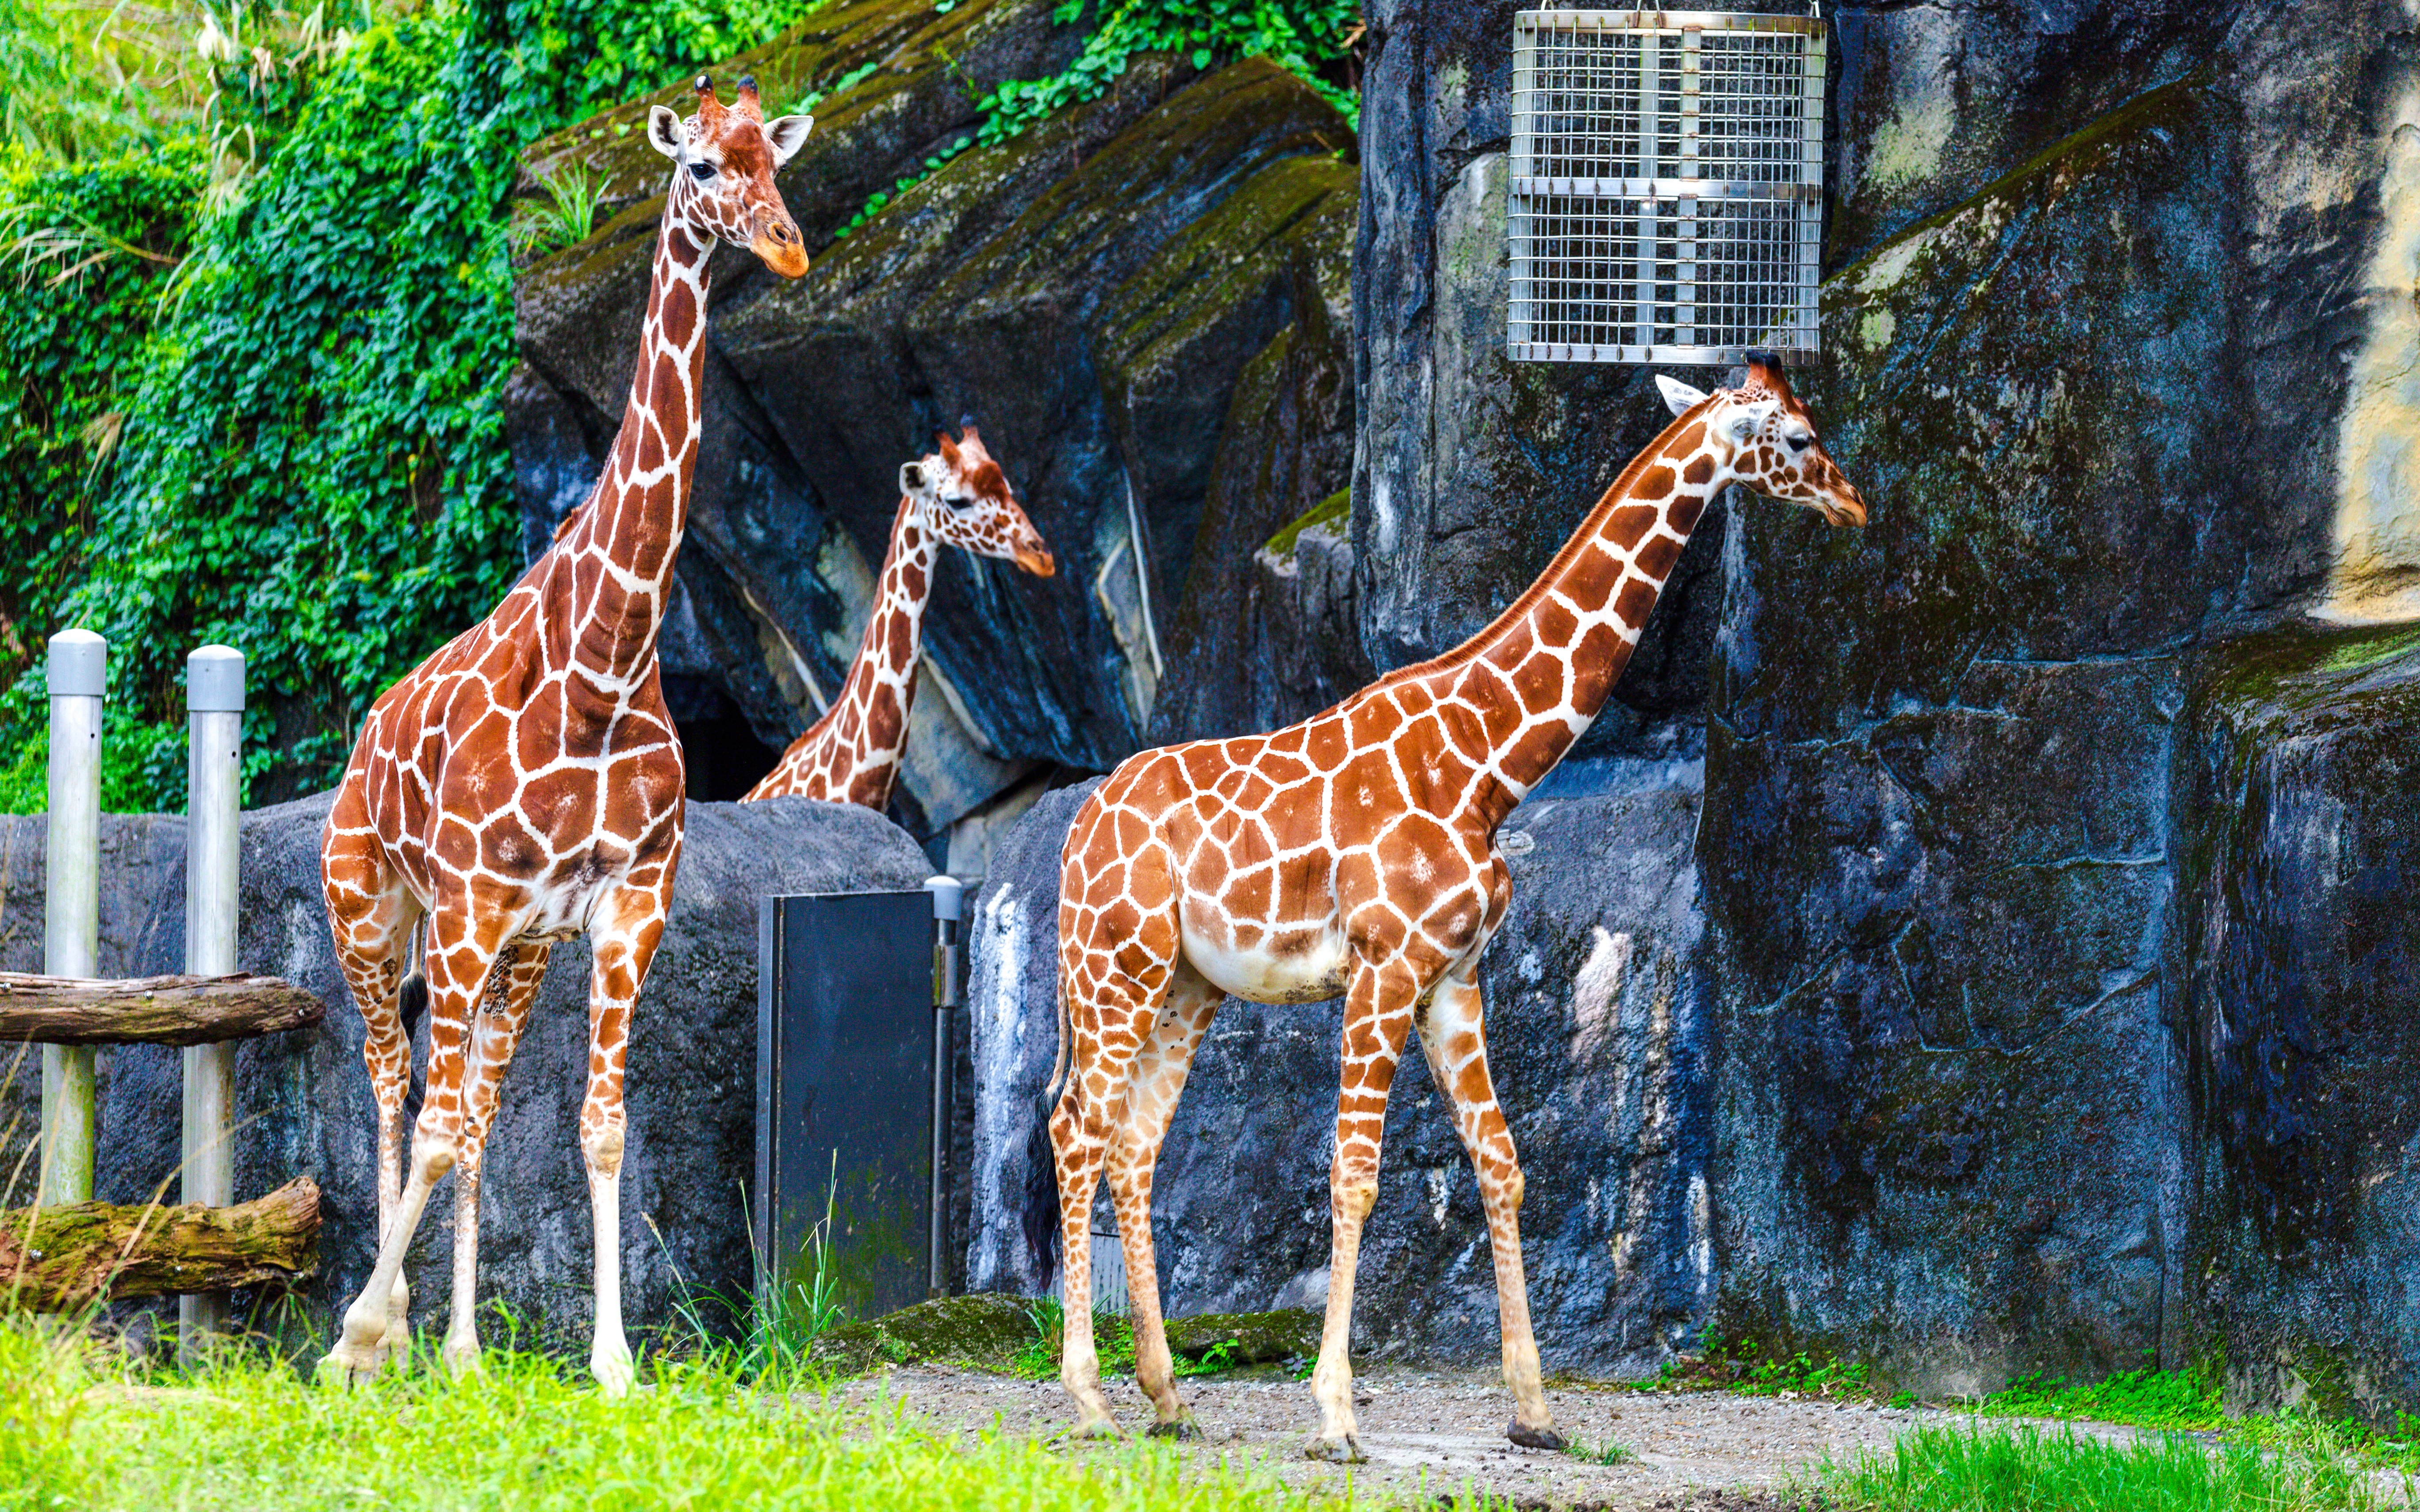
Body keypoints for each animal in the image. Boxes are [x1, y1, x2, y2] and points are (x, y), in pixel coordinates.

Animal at [314, 75, 813, 1394]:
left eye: (775, 161)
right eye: (699, 168)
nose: (786, 243)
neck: (607, 656)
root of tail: (361, 739)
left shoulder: (624, 900)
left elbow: (598, 1126)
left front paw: (611, 1361)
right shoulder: (471, 902)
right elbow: (434, 1123)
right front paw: (358, 1336)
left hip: (514, 954)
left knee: (473, 1106)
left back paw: (459, 1350)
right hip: (372, 909)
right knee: (394, 1085)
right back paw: (379, 1337)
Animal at [1048, 359, 1866, 1457]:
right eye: (1800, 436)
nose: (1854, 504)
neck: (1487, 764)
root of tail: (1075, 834)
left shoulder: (1454, 978)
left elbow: (1503, 1164)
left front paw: (1535, 1412)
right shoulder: (1384, 966)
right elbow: (1356, 1175)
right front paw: (1335, 1415)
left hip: (1186, 984)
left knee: (1132, 1147)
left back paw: (1168, 1397)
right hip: (1116, 967)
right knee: (1076, 1132)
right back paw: (1092, 1399)